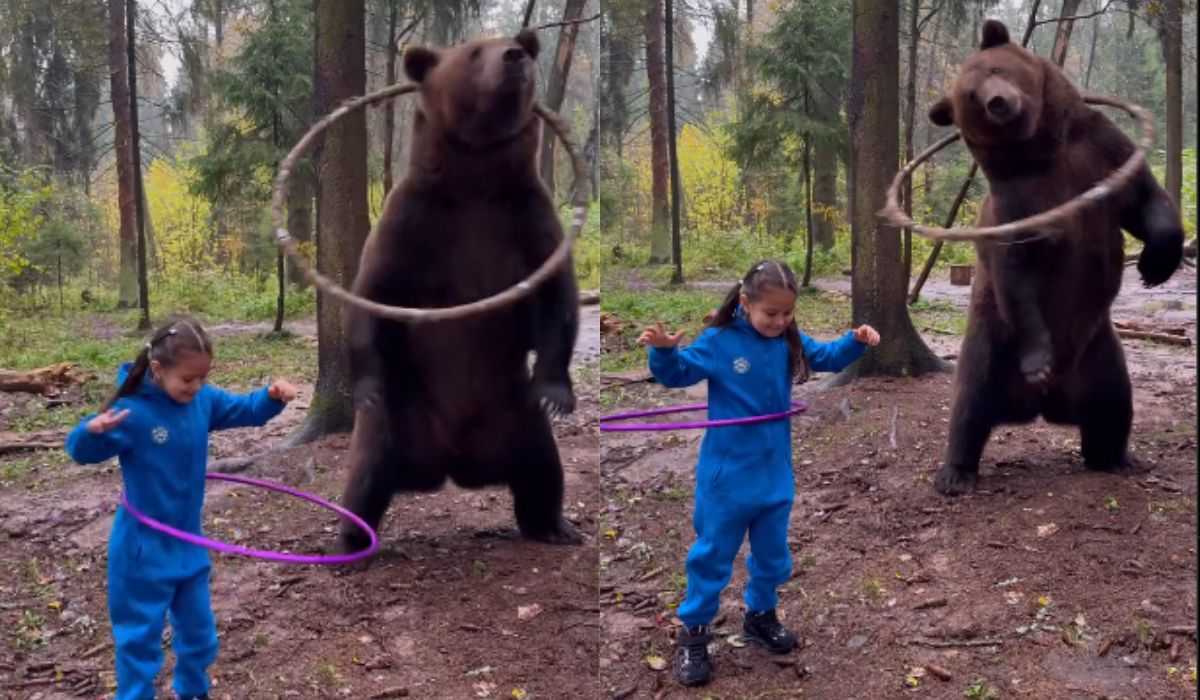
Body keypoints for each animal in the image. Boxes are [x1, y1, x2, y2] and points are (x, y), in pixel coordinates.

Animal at [338, 28, 580, 552]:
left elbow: (556, 297)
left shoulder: (527, 216)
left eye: (519, 46)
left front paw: (557, 393)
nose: (514, 55)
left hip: (516, 413)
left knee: (542, 468)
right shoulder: (412, 220)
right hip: (397, 419)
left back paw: (554, 525)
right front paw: (363, 386)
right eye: (473, 52)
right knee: (363, 479)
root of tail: (451, 463)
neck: (476, 177)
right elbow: (371, 291)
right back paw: (351, 541)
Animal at [926, 19, 1180, 494]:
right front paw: (1038, 360)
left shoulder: (1099, 152)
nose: (999, 102)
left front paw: (1156, 264)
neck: (1043, 150)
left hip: (1100, 355)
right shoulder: (1019, 199)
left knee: (1113, 405)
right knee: (970, 402)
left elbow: (1144, 196)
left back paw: (1117, 457)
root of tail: (1044, 405)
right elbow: (1018, 270)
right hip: (993, 342)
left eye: (995, 69)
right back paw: (955, 472)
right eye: (971, 96)